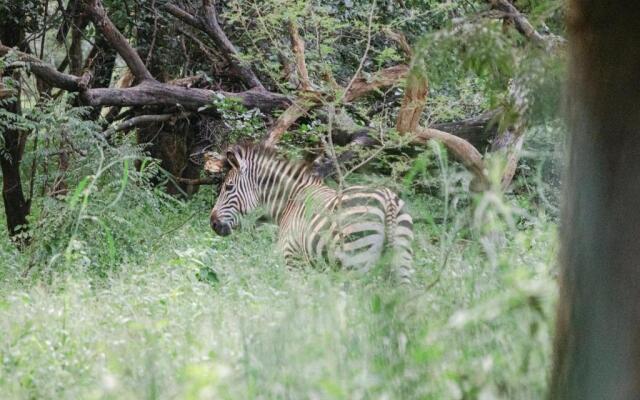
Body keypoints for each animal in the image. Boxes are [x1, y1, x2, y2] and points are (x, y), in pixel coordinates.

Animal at [206, 144, 416, 284]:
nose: (213, 223)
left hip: (356, 260)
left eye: (228, 187)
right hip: (402, 258)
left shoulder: (292, 258)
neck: (290, 201)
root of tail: (387, 199)